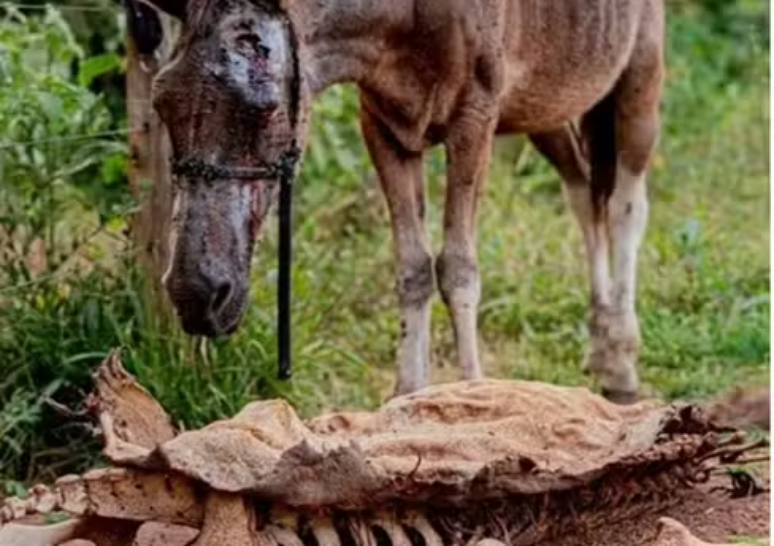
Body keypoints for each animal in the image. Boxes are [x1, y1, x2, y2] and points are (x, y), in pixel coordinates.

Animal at [138, 0, 664, 403]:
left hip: (640, 74)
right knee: (583, 193)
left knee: (626, 206)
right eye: (161, 101)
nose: (196, 294)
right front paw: (408, 397)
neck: (398, 20)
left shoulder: (475, 116)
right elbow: (413, 268)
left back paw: (622, 364)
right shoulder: (383, 124)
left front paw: (476, 396)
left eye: (265, 107)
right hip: (546, 103)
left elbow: (458, 268)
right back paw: (602, 352)